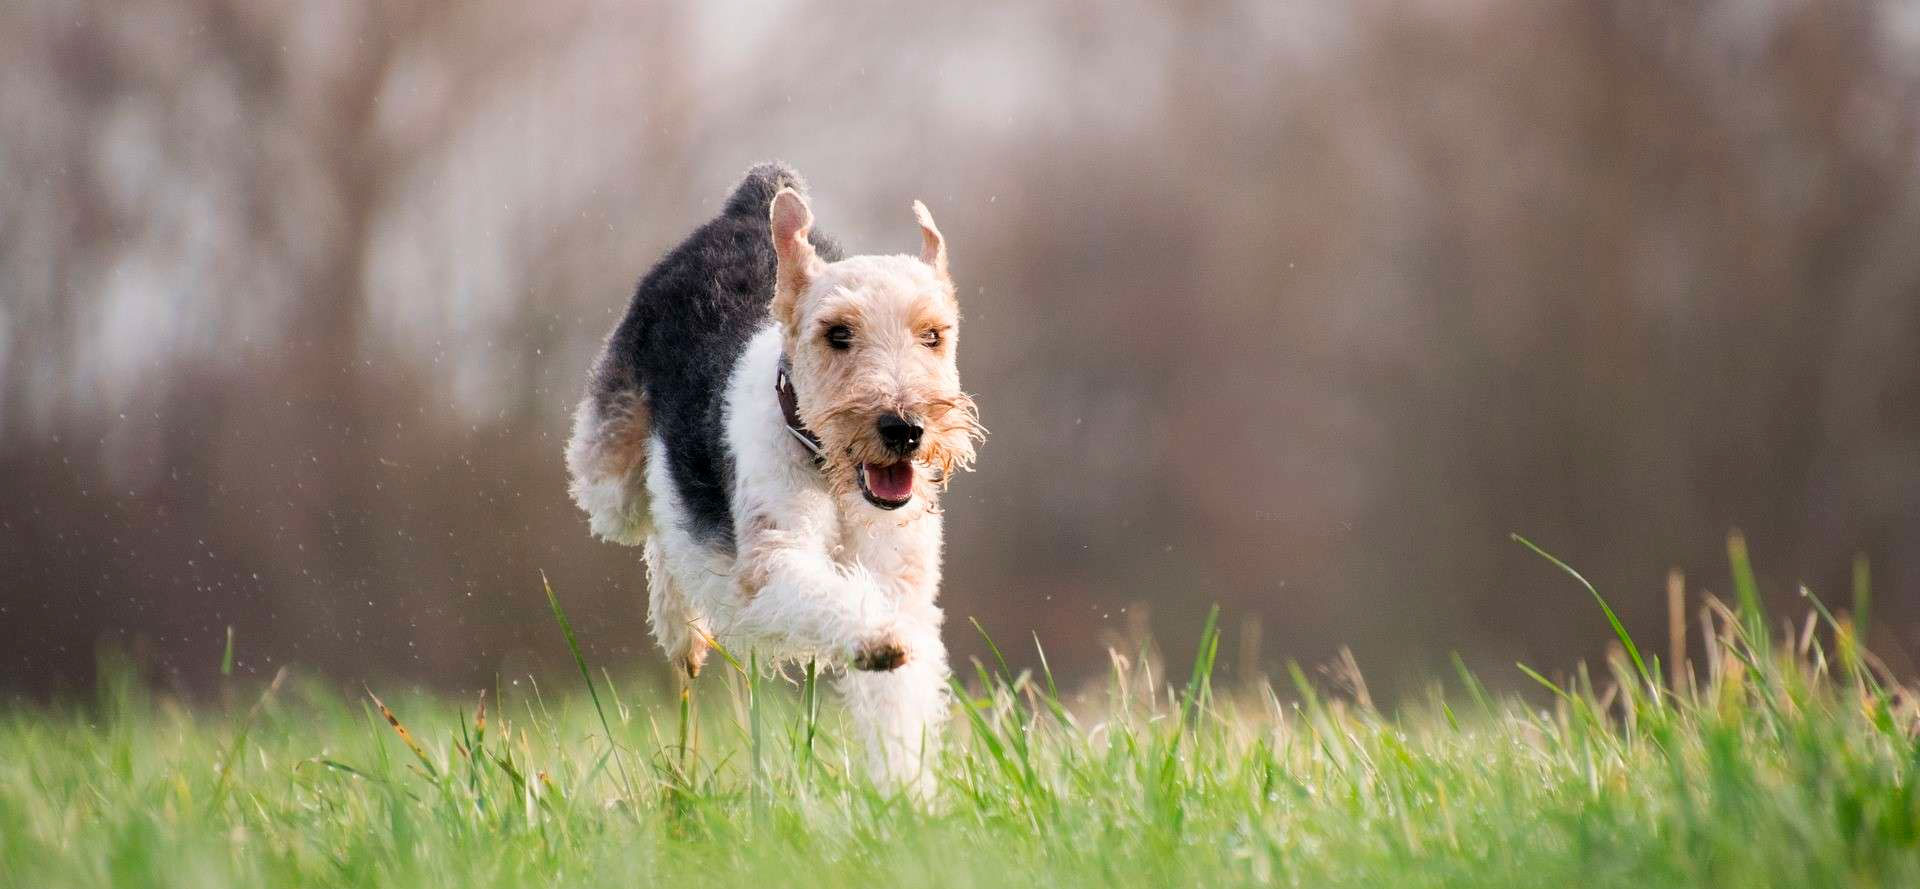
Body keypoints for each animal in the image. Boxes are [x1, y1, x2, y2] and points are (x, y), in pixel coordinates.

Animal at [560, 163, 983, 791]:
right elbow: (825, 595)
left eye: (934, 334)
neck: (831, 475)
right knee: (658, 524)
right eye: (838, 333)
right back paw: (683, 635)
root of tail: (749, 201)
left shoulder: (903, 581)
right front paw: (877, 639)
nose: (904, 428)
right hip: (609, 478)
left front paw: (908, 795)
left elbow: (900, 704)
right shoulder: (774, 560)